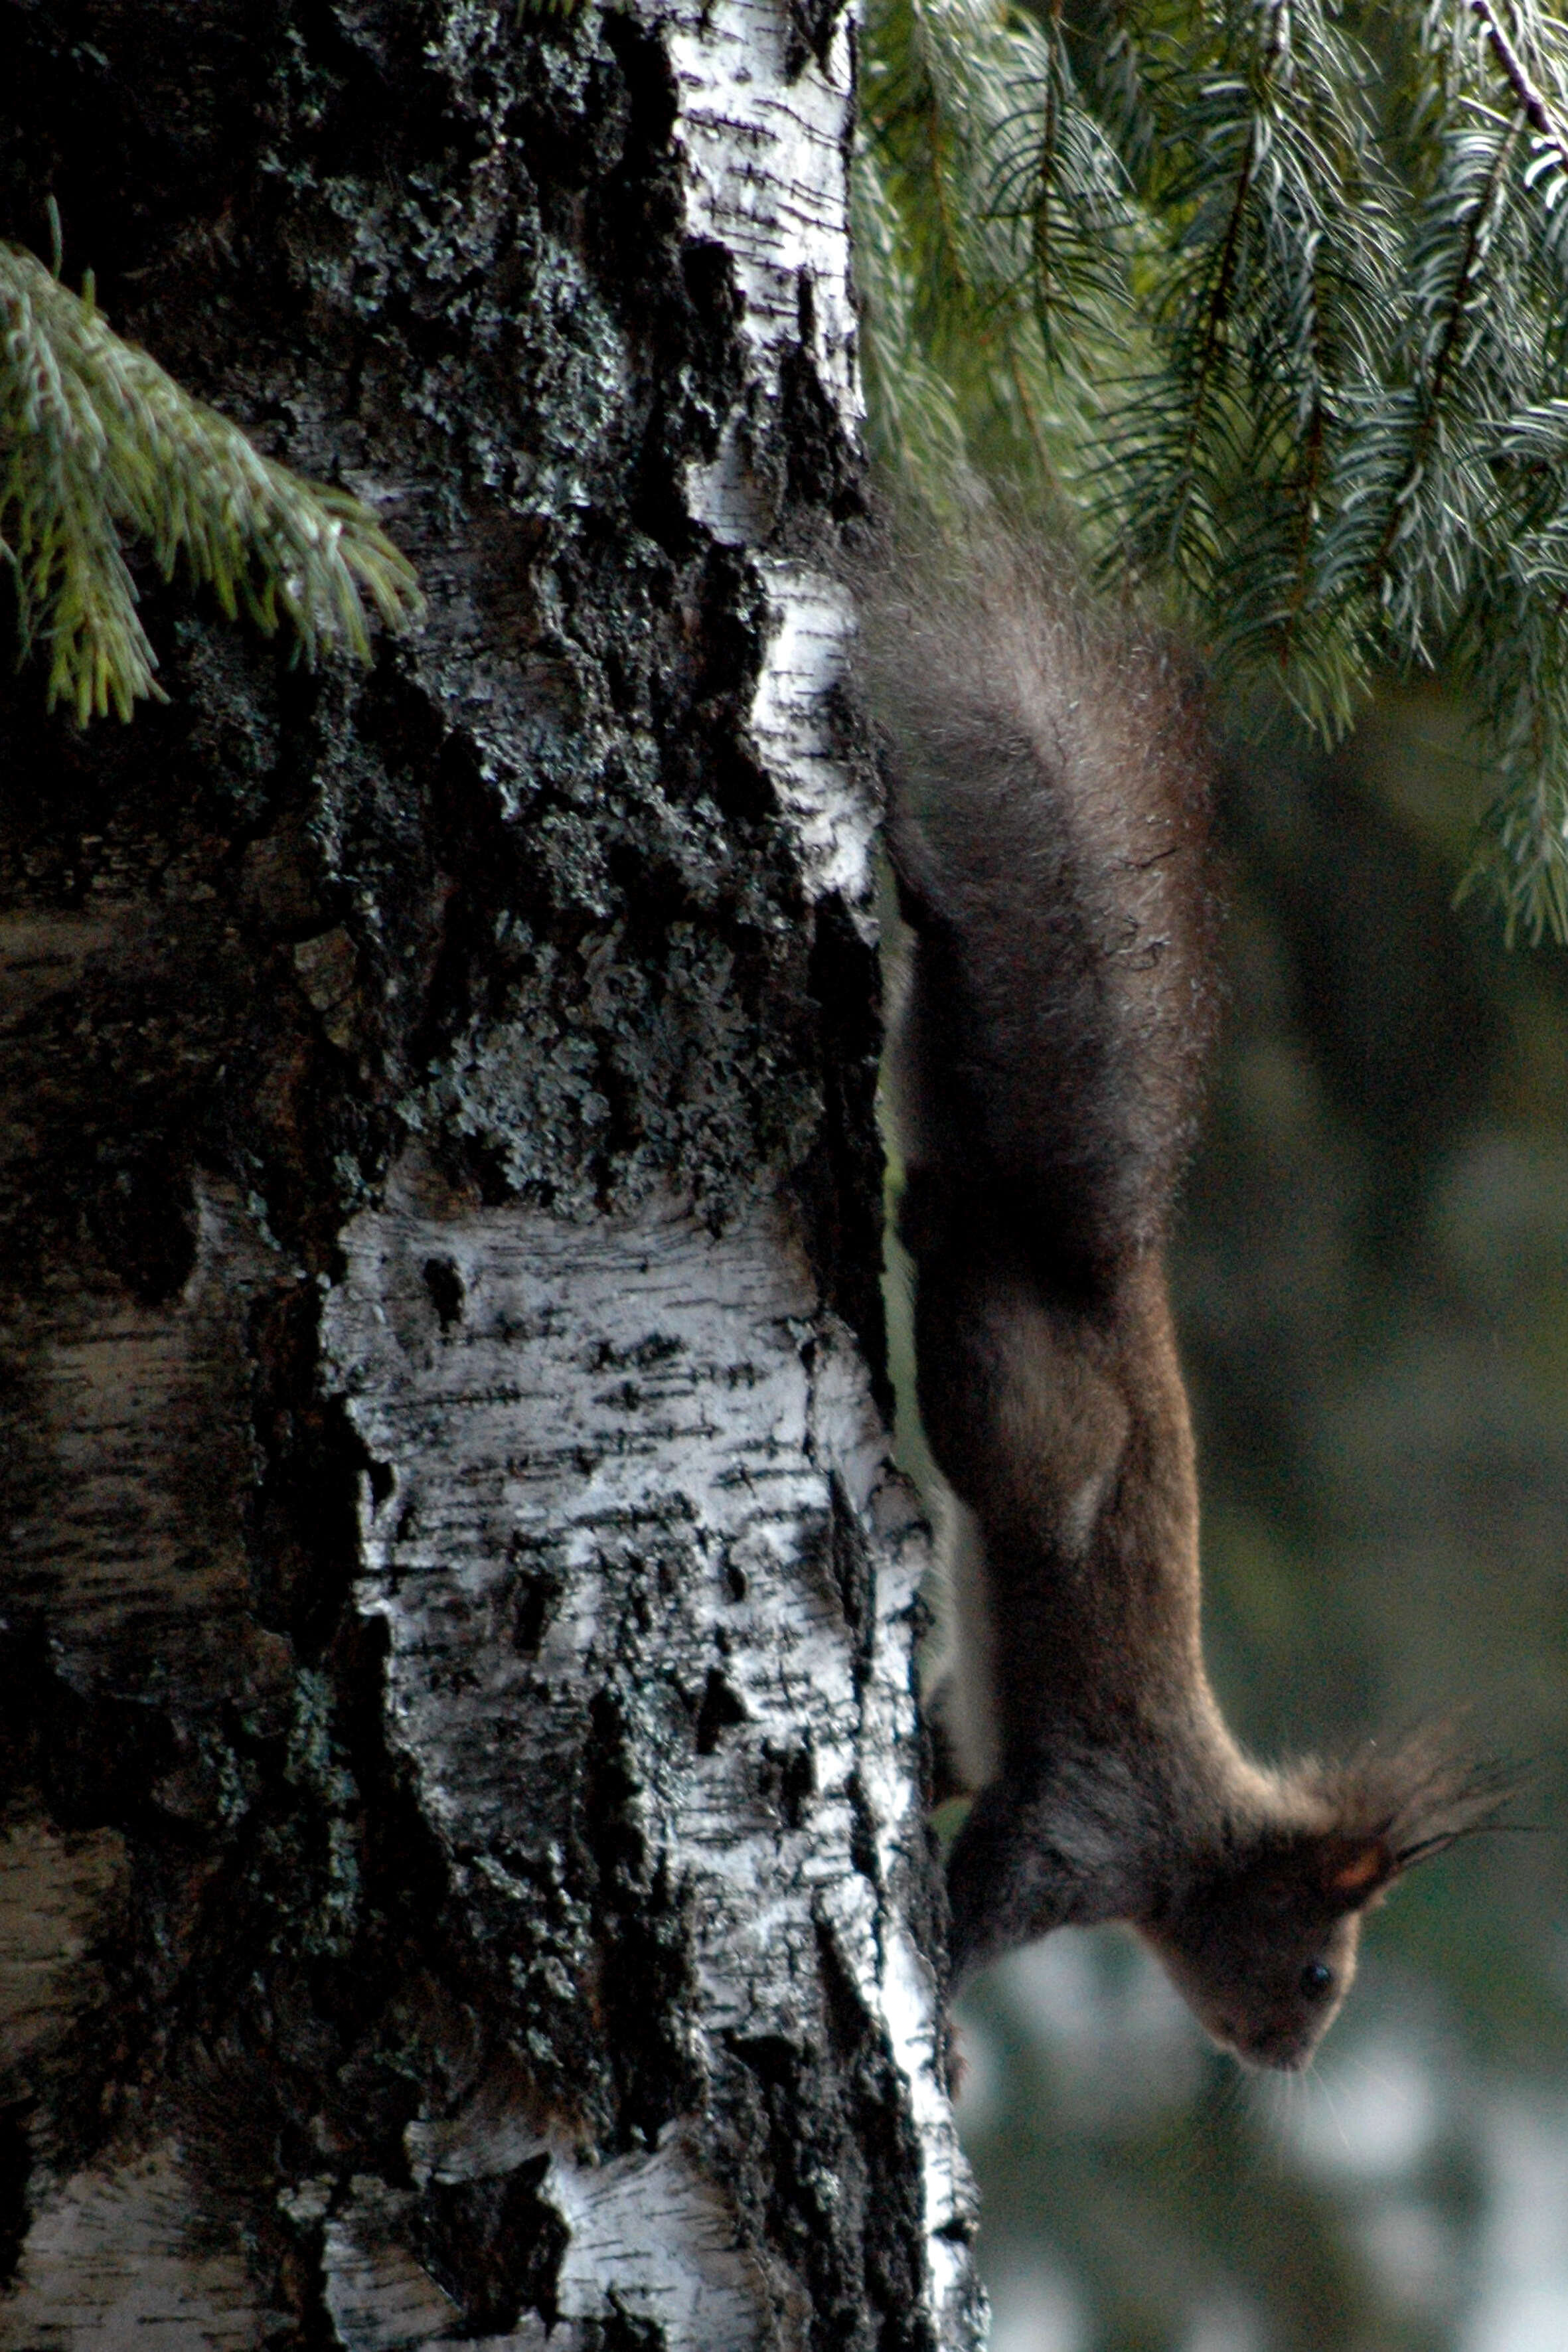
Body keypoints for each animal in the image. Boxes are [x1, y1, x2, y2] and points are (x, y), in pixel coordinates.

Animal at [865, 524, 1514, 2069]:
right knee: (979, 1371)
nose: (1287, 2062)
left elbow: (956, 1738)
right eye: (1318, 1970)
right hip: (1035, 1412)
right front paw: (948, 2005)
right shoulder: (1093, 1821)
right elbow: (984, 1901)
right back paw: (934, 1229)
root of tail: (1103, 1265)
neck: (1202, 1837)